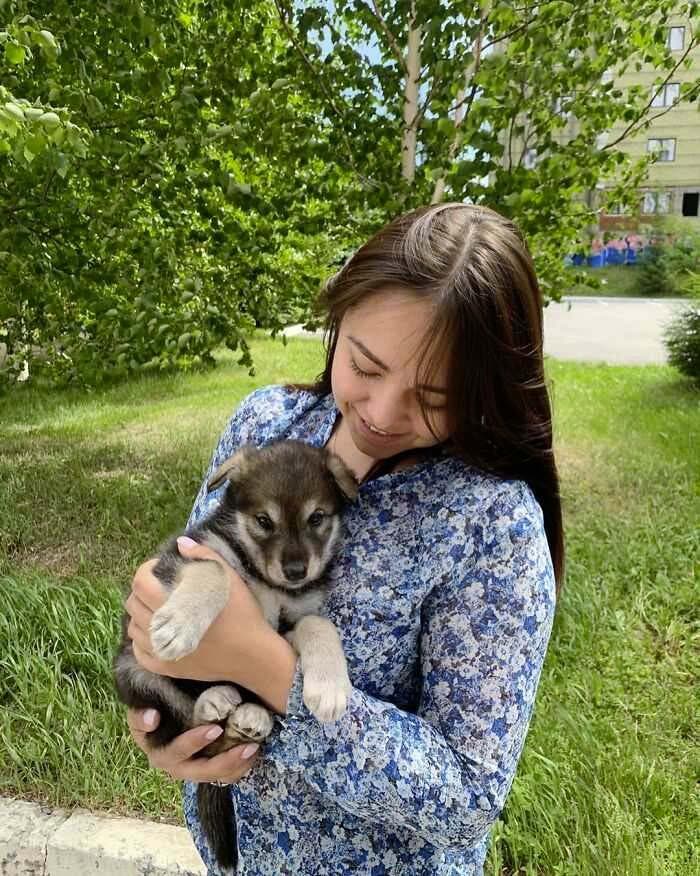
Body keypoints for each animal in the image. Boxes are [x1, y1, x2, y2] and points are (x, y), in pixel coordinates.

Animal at [115, 442, 358, 872]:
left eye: (317, 518)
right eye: (263, 520)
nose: (296, 571)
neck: (264, 578)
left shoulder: (289, 621)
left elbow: (319, 625)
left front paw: (329, 689)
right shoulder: (185, 556)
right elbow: (214, 571)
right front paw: (179, 624)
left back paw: (251, 716)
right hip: (134, 674)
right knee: (187, 727)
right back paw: (214, 699)